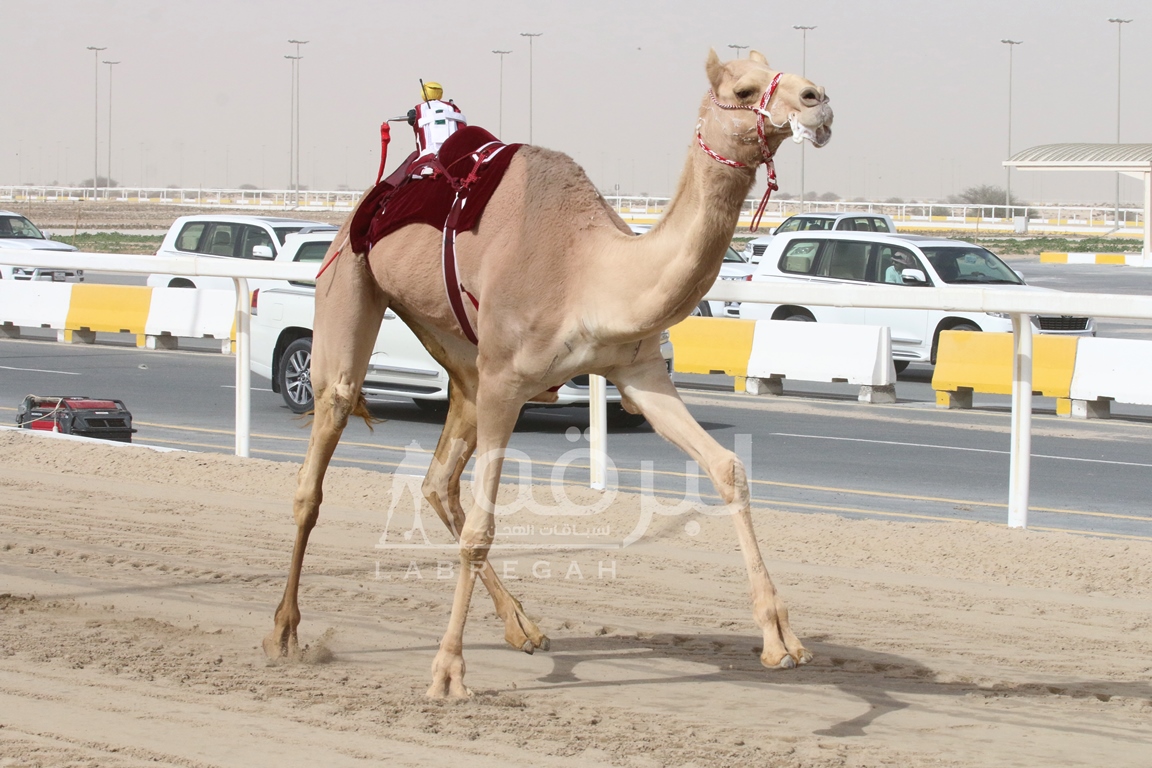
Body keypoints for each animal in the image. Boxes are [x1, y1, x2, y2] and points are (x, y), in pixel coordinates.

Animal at [264, 46, 834, 695]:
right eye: (743, 90)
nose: (818, 101)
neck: (589, 271)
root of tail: (371, 197)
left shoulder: (638, 371)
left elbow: (728, 468)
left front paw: (781, 637)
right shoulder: (508, 381)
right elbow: (482, 530)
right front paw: (447, 671)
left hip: (461, 355)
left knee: (437, 480)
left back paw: (524, 627)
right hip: (351, 279)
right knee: (323, 445)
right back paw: (285, 631)